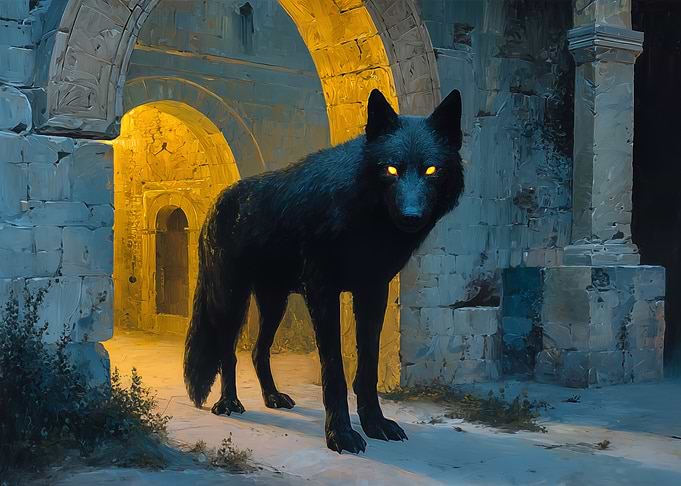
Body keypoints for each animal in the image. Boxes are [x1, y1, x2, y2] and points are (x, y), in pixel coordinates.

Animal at [184, 88, 465, 454]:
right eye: (391, 169)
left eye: (432, 169)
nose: (411, 216)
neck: (364, 219)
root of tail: (214, 204)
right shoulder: (322, 292)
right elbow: (334, 370)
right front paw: (341, 434)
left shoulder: (373, 292)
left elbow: (368, 367)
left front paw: (375, 424)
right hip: (231, 300)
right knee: (227, 352)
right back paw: (229, 404)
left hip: (274, 304)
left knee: (258, 351)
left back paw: (272, 397)